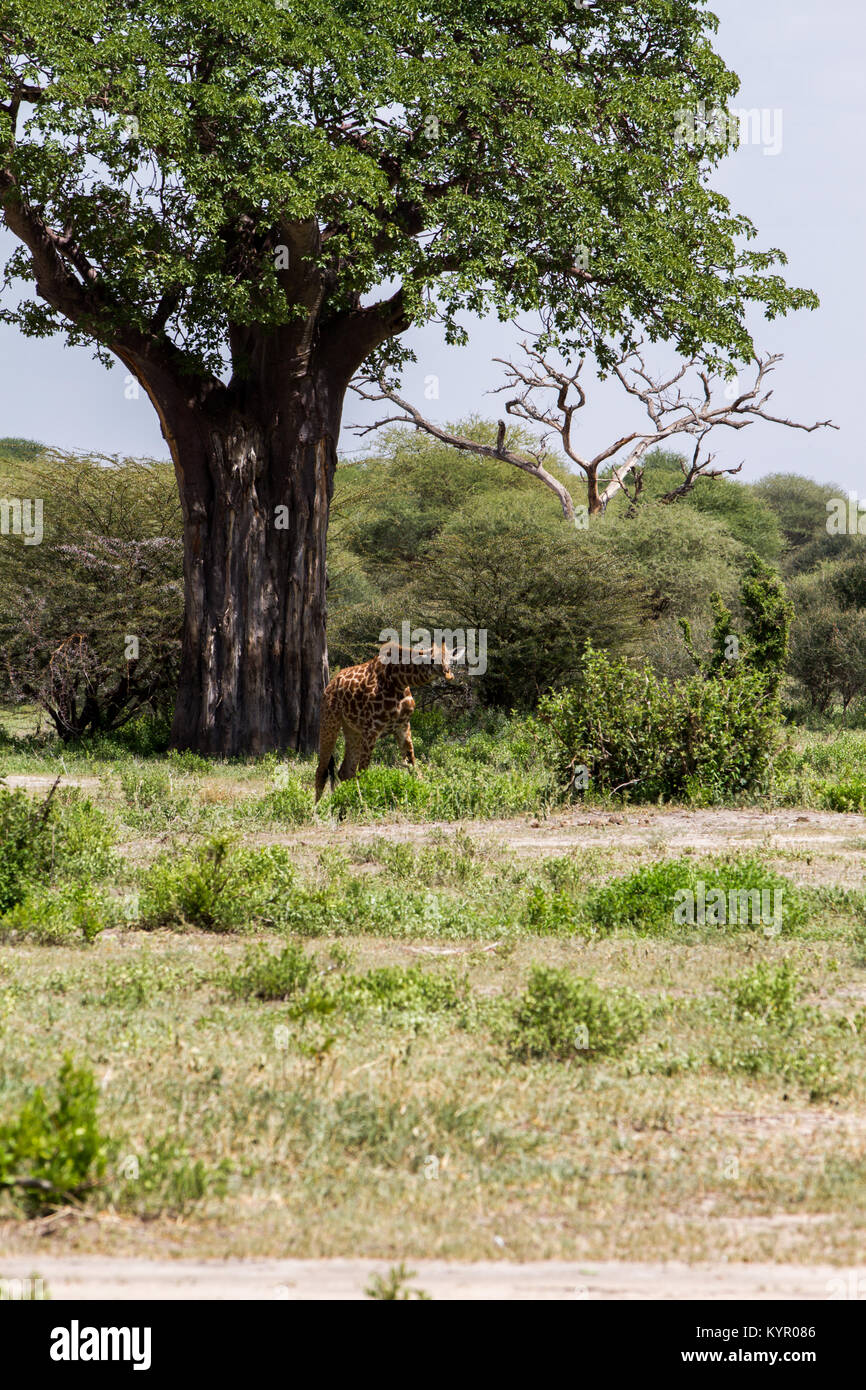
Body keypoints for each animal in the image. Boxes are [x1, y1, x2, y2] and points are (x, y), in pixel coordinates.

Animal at [311, 642, 461, 806]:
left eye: (450, 659)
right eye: (432, 659)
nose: (448, 675)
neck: (399, 681)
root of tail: (330, 684)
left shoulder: (403, 725)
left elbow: (413, 766)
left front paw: (429, 798)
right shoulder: (372, 729)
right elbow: (363, 772)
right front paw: (363, 806)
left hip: (352, 730)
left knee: (344, 771)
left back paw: (344, 802)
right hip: (330, 720)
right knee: (322, 770)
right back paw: (318, 809)